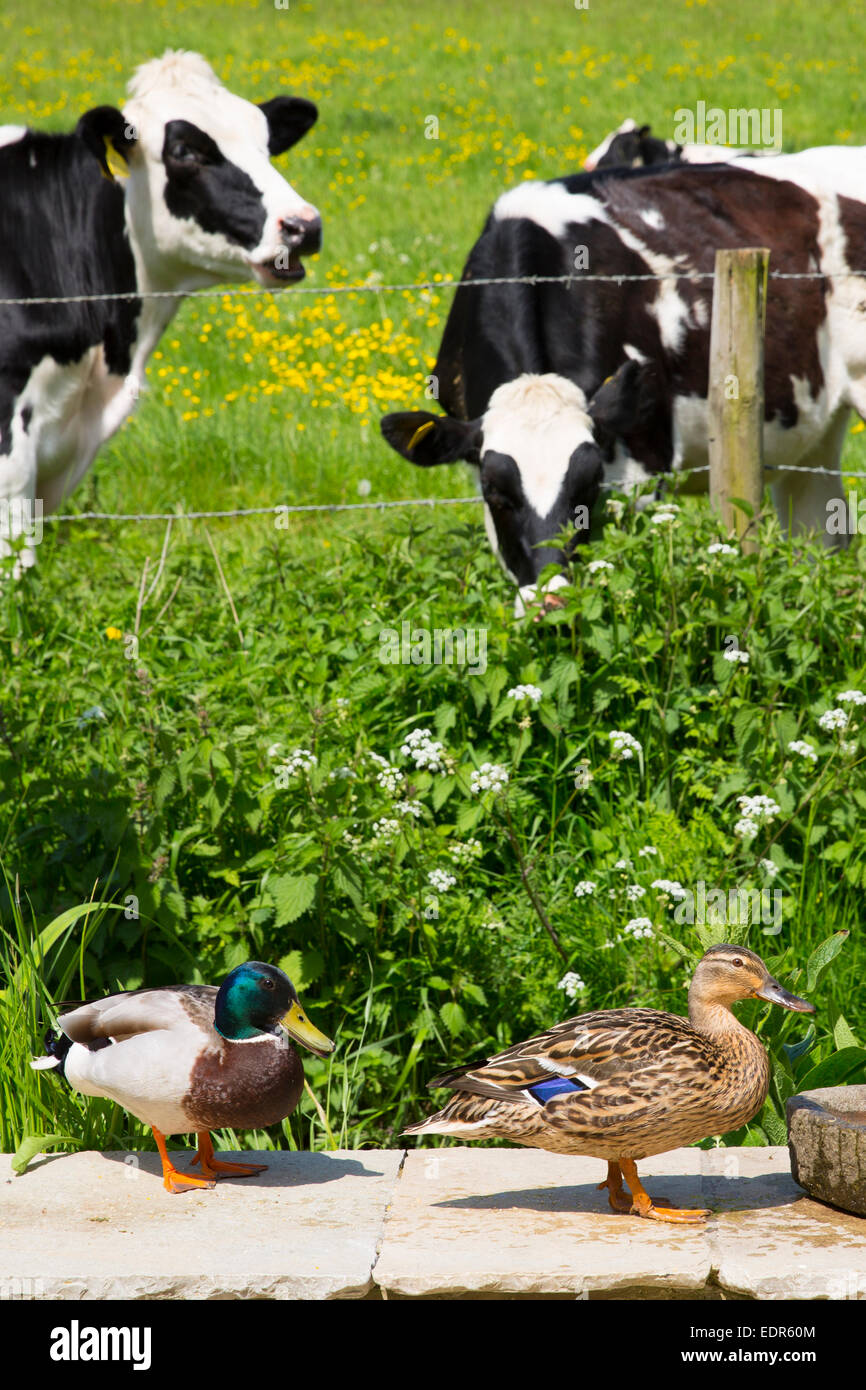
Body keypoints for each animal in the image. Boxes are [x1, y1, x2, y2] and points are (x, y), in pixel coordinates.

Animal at [380, 153, 866, 608]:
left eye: (588, 485)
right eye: (494, 491)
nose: (551, 603)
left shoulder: (644, 469)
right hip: (811, 438)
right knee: (819, 538)